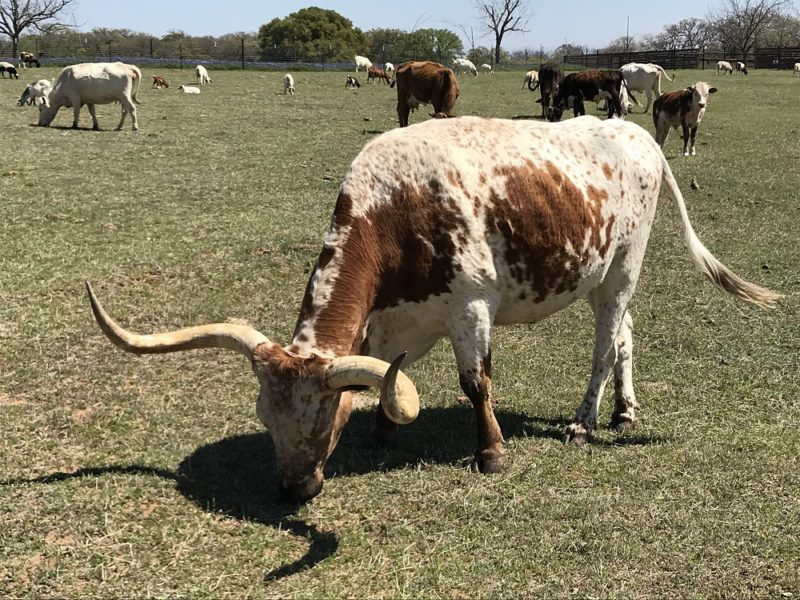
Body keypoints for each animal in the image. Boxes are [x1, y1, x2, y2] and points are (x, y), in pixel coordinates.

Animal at [89, 113, 780, 502]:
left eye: (320, 420)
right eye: (265, 416)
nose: (291, 490)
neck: (394, 208)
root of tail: (637, 132)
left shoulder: (469, 308)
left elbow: (476, 383)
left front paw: (491, 454)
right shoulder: (398, 319)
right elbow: (389, 376)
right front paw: (380, 433)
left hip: (625, 265)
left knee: (606, 342)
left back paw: (586, 420)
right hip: (602, 271)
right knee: (625, 334)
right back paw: (624, 410)